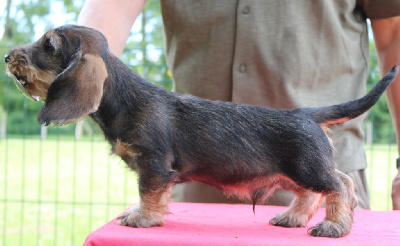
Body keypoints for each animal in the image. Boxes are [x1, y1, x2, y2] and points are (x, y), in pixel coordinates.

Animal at [4, 24, 398, 236]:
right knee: (311, 194)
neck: (124, 96)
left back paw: (334, 226)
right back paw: (293, 217)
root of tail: (307, 114)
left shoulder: (154, 165)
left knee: (341, 185)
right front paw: (141, 213)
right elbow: (152, 195)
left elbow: (148, 193)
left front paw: (143, 218)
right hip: (292, 173)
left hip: (308, 167)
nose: (7, 56)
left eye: (48, 45)